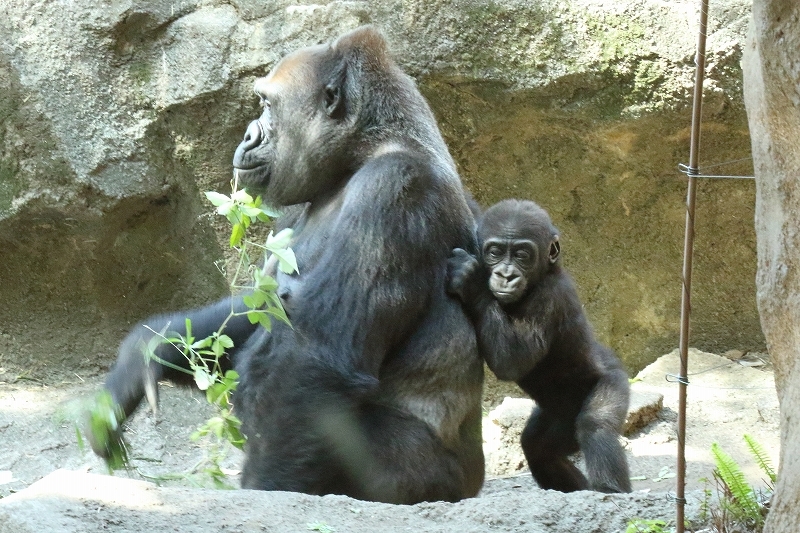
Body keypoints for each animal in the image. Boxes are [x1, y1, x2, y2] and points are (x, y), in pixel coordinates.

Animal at [94, 26, 482, 502]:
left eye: (266, 104)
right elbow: (255, 308)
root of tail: (474, 480)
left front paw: (266, 486)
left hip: (431, 482)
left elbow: (314, 359)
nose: (246, 136)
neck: (363, 152)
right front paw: (147, 350)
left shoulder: (394, 188)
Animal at [450, 201, 632, 494]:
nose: (506, 275)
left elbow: (512, 361)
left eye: (522, 255)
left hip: (613, 380)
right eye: (495, 252)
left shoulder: (550, 299)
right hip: (559, 419)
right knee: (538, 448)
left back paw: (609, 491)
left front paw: (471, 281)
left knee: (596, 427)